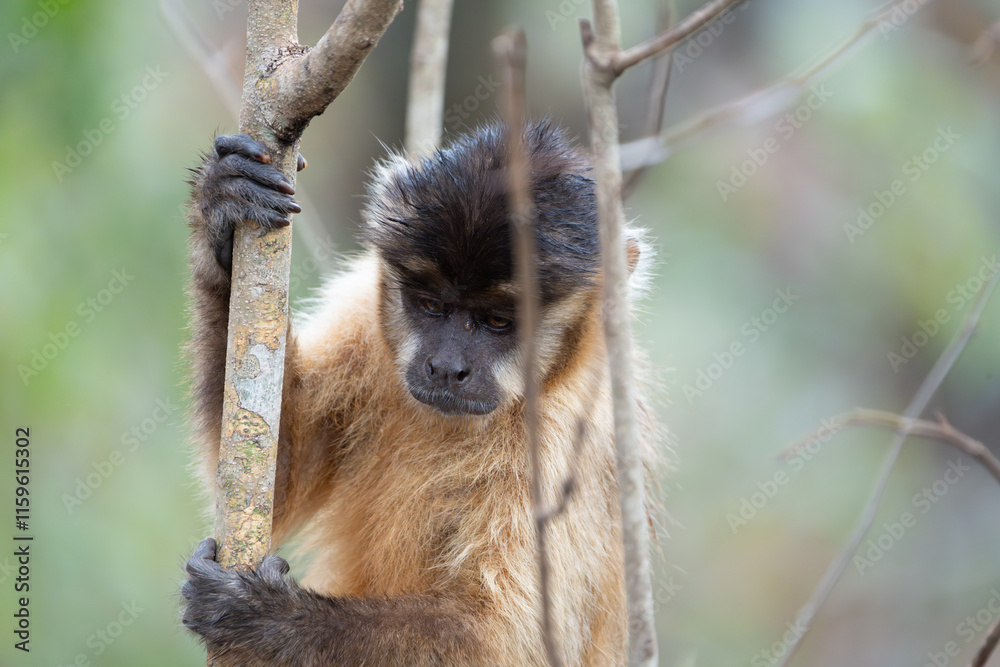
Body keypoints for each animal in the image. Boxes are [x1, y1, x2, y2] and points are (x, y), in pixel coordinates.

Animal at [180, 121, 660, 666]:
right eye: (432, 306)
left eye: (498, 322)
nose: (446, 367)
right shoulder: (365, 317)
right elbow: (277, 478)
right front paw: (222, 211)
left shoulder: (567, 444)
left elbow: (508, 644)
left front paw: (265, 617)